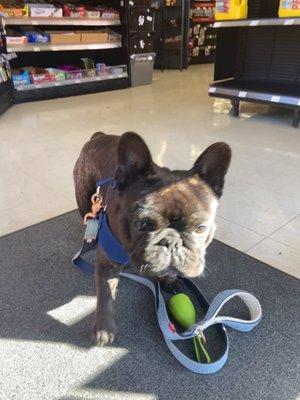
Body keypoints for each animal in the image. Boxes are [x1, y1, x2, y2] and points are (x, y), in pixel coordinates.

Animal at [74, 133, 231, 346]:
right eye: (142, 224)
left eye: (201, 228)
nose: (172, 243)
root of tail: (99, 136)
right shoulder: (108, 265)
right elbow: (106, 296)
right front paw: (104, 329)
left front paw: (169, 280)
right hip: (85, 198)